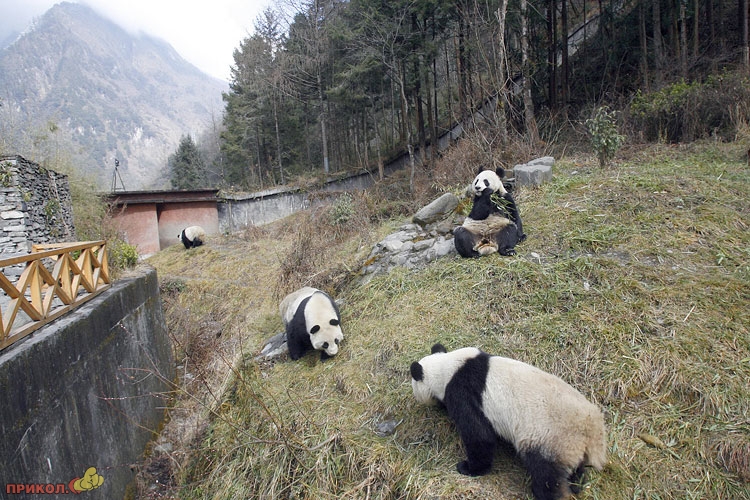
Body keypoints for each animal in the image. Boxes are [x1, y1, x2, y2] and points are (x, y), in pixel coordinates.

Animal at [410, 343, 606, 500]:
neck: (447, 367)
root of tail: (593, 431)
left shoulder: (464, 392)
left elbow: (479, 436)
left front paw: (468, 468)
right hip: (570, 446)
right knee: (574, 470)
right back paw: (576, 485)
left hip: (552, 438)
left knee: (547, 476)